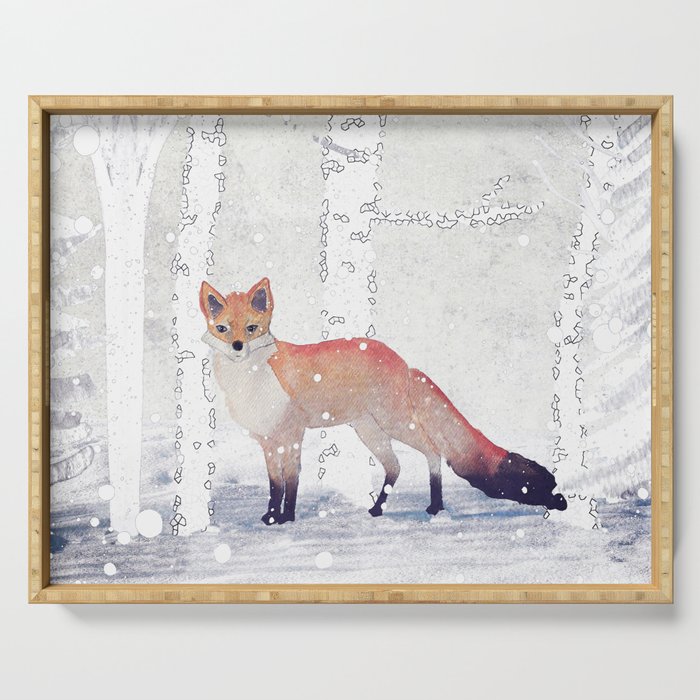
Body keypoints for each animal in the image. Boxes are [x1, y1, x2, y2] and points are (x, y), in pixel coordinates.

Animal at [199, 277, 567, 525]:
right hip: (369, 430)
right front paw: (271, 516)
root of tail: (403, 361)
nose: (237, 347)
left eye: (251, 328)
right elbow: (274, 484)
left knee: (433, 451)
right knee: (395, 466)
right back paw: (378, 509)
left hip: (394, 423)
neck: (251, 382)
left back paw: (435, 507)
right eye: (222, 328)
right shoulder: (267, 440)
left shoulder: (291, 435)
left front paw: (286, 518)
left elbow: (291, 481)